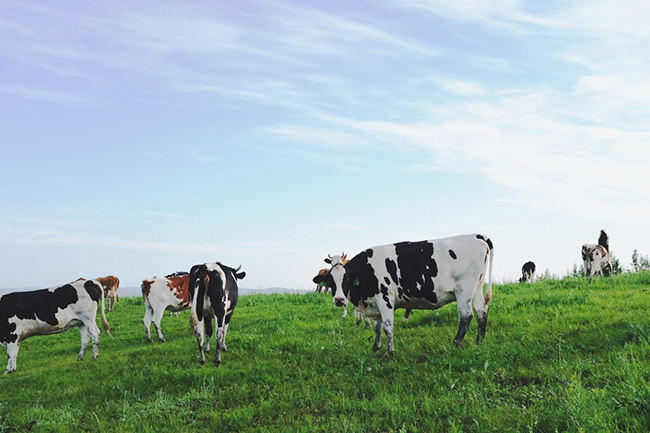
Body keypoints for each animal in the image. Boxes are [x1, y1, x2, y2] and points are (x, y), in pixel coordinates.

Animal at [322, 235, 492, 352]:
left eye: (346, 279)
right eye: (330, 281)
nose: (339, 300)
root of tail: (475, 236)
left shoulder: (384, 299)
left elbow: (387, 326)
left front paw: (390, 352)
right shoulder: (374, 303)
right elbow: (377, 326)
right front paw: (376, 347)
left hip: (464, 292)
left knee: (466, 316)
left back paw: (455, 344)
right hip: (476, 289)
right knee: (481, 311)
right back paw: (480, 342)